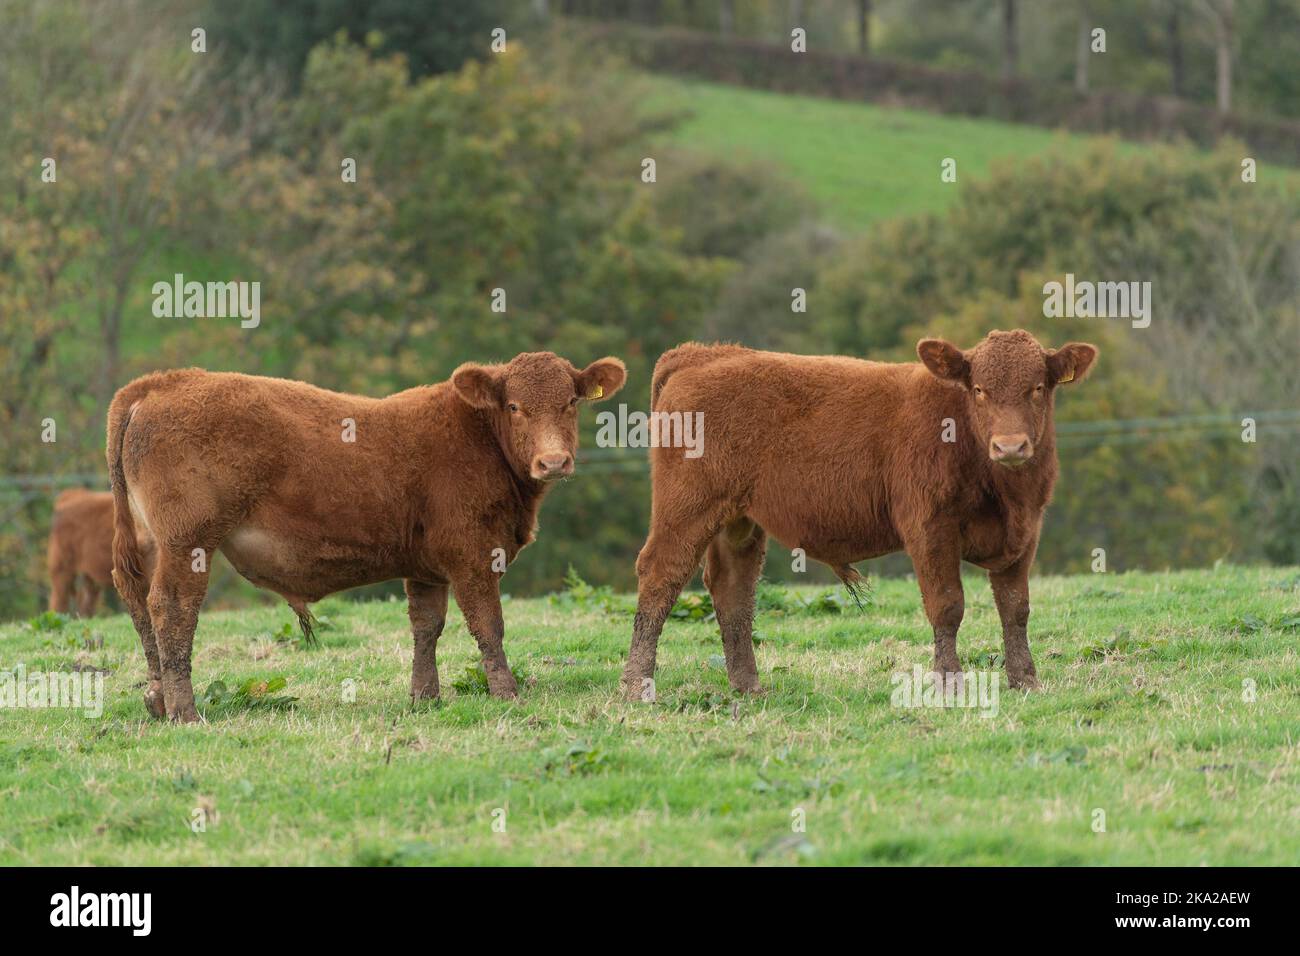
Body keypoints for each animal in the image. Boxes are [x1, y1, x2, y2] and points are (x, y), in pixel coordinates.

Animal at [107, 352, 626, 722]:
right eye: (515, 406)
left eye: (571, 402)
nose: (553, 461)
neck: (478, 436)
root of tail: (162, 381)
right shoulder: (473, 555)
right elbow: (488, 626)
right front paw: (507, 694)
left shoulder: (427, 567)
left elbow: (426, 627)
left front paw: (425, 698)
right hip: (187, 542)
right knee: (171, 608)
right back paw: (185, 711)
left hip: (152, 543)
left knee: (139, 604)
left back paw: (157, 701)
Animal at [620, 329, 1097, 699]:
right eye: (979, 389)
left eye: (1038, 387)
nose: (1010, 446)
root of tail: (702, 353)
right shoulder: (930, 527)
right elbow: (947, 605)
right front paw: (949, 682)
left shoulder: (1026, 531)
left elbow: (1016, 608)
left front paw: (1025, 680)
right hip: (686, 507)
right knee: (661, 575)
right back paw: (637, 686)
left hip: (738, 521)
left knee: (733, 590)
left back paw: (748, 686)